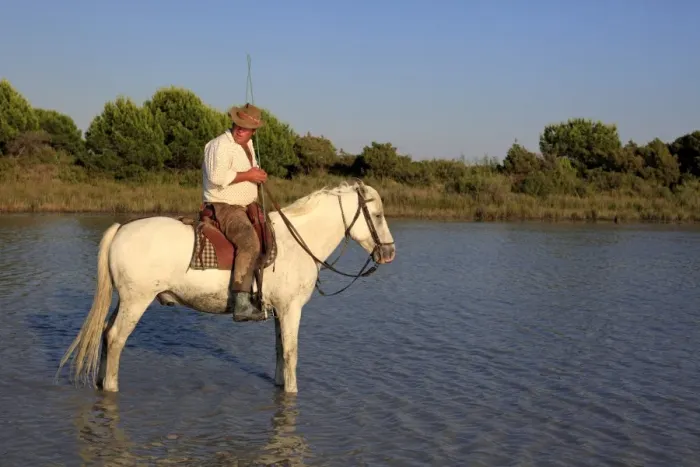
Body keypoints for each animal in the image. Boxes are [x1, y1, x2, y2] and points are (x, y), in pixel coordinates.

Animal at [56, 180, 396, 394]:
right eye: (378, 215)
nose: (389, 253)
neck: (297, 241)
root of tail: (121, 228)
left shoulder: (279, 311)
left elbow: (279, 351)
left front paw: (280, 384)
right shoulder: (291, 310)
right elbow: (291, 354)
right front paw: (292, 391)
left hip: (123, 301)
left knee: (104, 333)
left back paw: (102, 382)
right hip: (136, 301)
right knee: (115, 339)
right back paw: (112, 387)